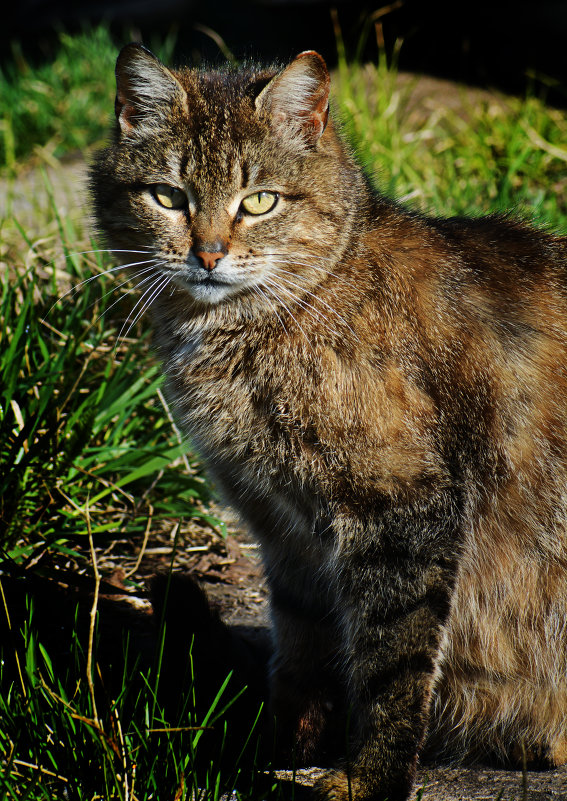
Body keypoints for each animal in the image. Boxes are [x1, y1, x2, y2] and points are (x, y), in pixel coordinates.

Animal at [89, 45, 567, 800]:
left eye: (259, 201)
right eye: (169, 197)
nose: (207, 254)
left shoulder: (399, 513)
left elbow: (390, 665)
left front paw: (368, 778)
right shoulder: (283, 531)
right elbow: (302, 656)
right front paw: (280, 749)